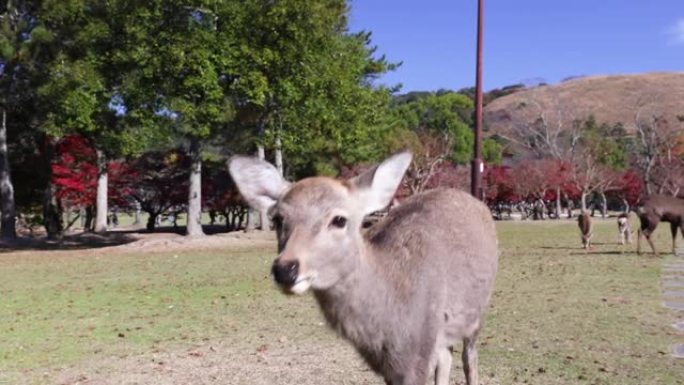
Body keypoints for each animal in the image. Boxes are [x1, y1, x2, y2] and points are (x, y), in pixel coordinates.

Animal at [227, 152, 500, 382]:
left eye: (339, 219)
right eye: (277, 219)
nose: (285, 269)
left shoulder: (420, 353)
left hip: (477, 311)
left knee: (469, 357)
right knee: (446, 357)